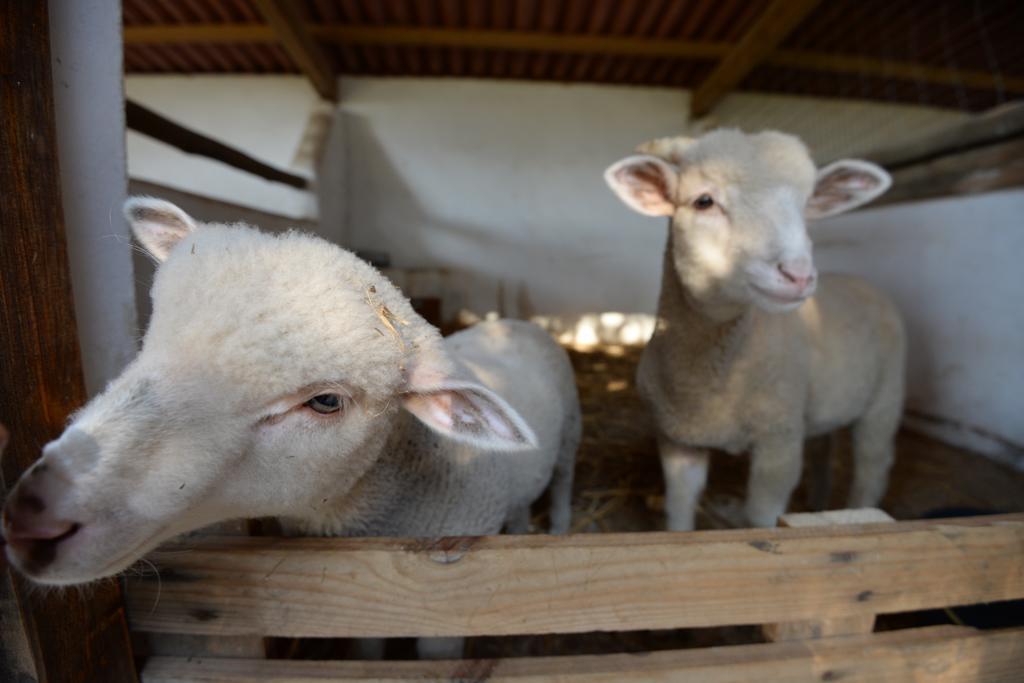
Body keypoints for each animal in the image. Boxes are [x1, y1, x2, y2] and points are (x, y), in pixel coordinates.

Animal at [0, 197, 581, 655]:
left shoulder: (448, 602)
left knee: (563, 478)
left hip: (571, 428)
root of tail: (513, 322)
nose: (33, 516)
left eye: (325, 401)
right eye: (151, 336)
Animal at [602, 131, 901, 532]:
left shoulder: (779, 441)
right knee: (824, 451)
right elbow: (679, 509)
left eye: (806, 206)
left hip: (885, 398)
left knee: (872, 465)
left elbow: (762, 517)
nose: (798, 275)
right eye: (704, 201)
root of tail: (861, 281)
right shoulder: (678, 439)